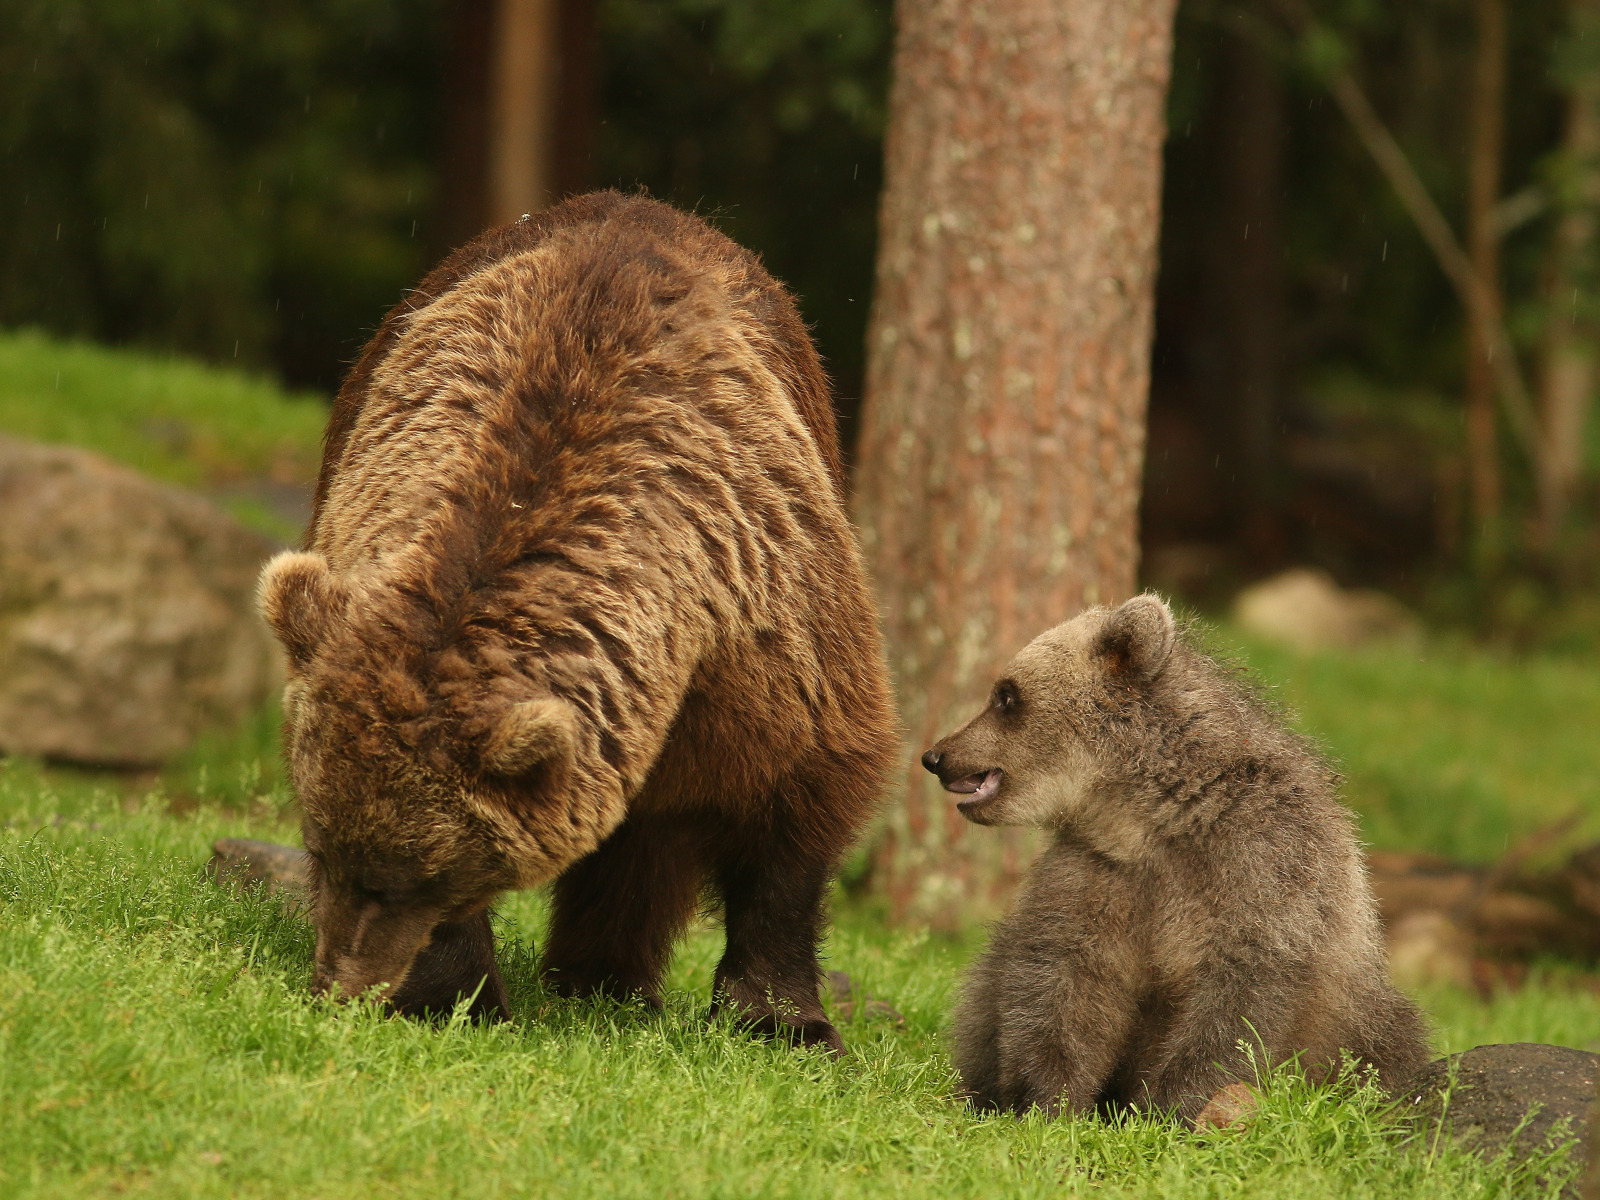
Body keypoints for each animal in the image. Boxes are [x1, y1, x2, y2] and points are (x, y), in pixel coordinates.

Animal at [256, 190, 896, 1049]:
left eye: (413, 876)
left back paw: (609, 979)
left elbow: (796, 795)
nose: (342, 986)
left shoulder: (764, 622)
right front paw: (450, 995)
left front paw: (784, 1020)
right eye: (322, 848)